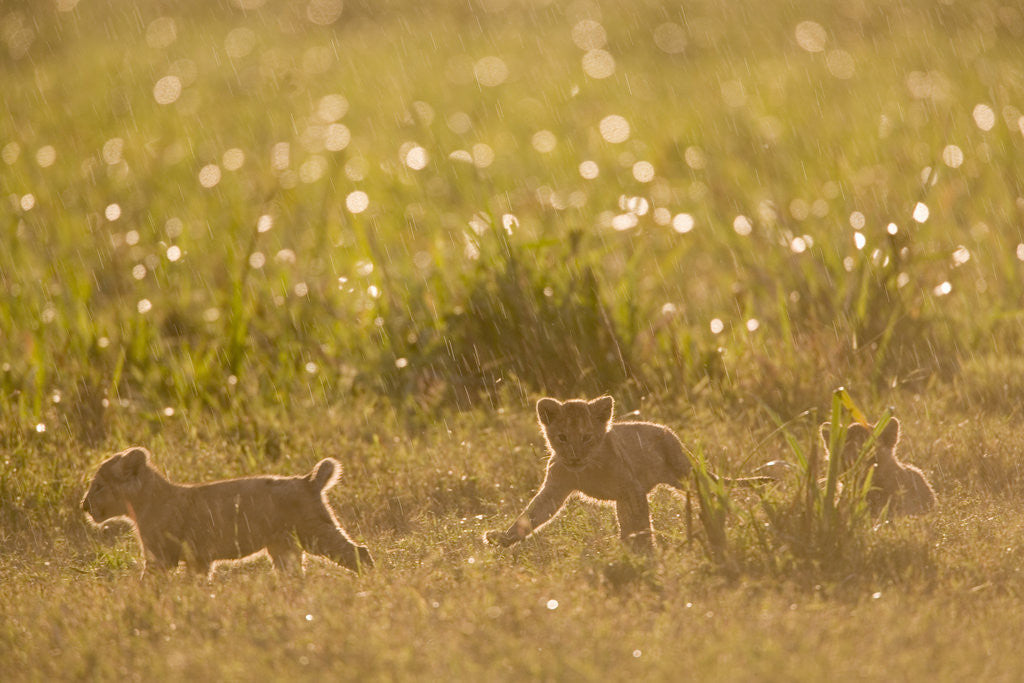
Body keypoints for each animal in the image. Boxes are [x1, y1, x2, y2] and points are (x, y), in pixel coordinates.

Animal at [82, 446, 373, 576]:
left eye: (98, 486)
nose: (83, 505)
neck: (141, 504)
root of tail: (308, 481)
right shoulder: (198, 560)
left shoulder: (161, 557)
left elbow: (150, 583)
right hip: (284, 546)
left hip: (314, 533)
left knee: (359, 552)